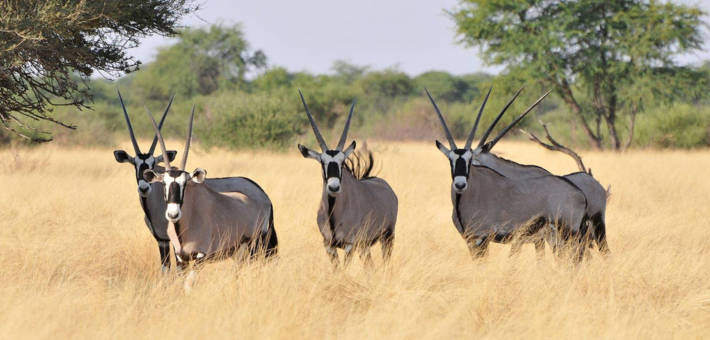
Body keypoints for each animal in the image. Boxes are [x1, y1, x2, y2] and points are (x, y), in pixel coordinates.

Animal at [142, 103, 278, 274]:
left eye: (185, 184)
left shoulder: (201, 256)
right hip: (239, 254)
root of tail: (261, 201)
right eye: (164, 183)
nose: (173, 214)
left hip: (255, 247)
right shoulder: (181, 258)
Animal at [298, 91, 400, 266]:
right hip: (365, 246)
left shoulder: (350, 245)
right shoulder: (329, 245)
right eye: (322, 162)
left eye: (343, 162)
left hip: (387, 236)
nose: (333, 187)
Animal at [428, 88, 588, 260]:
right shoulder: (470, 240)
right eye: (450, 160)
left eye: (470, 161)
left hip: (566, 235)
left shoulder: (484, 238)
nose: (460, 184)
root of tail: (580, 194)